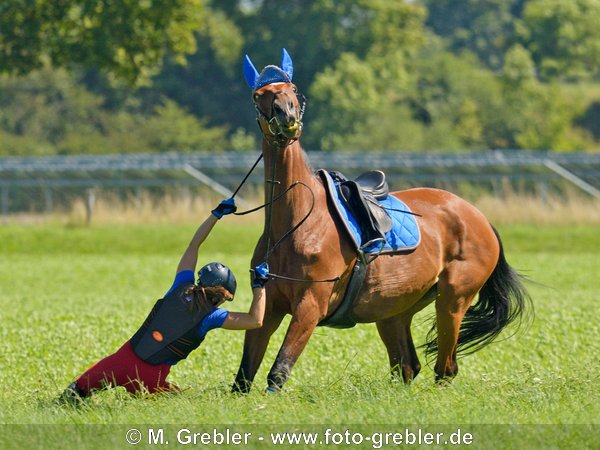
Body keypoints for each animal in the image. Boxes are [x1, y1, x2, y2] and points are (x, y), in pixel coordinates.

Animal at [232, 50, 532, 394]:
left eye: (294, 90)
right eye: (259, 96)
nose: (287, 118)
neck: (297, 225)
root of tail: (479, 217)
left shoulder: (310, 306)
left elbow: (278, 371)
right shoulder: (268, 307)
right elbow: (244, 376)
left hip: (452, 300)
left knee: (445, 368)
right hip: (395, 310)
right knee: (408, 365)